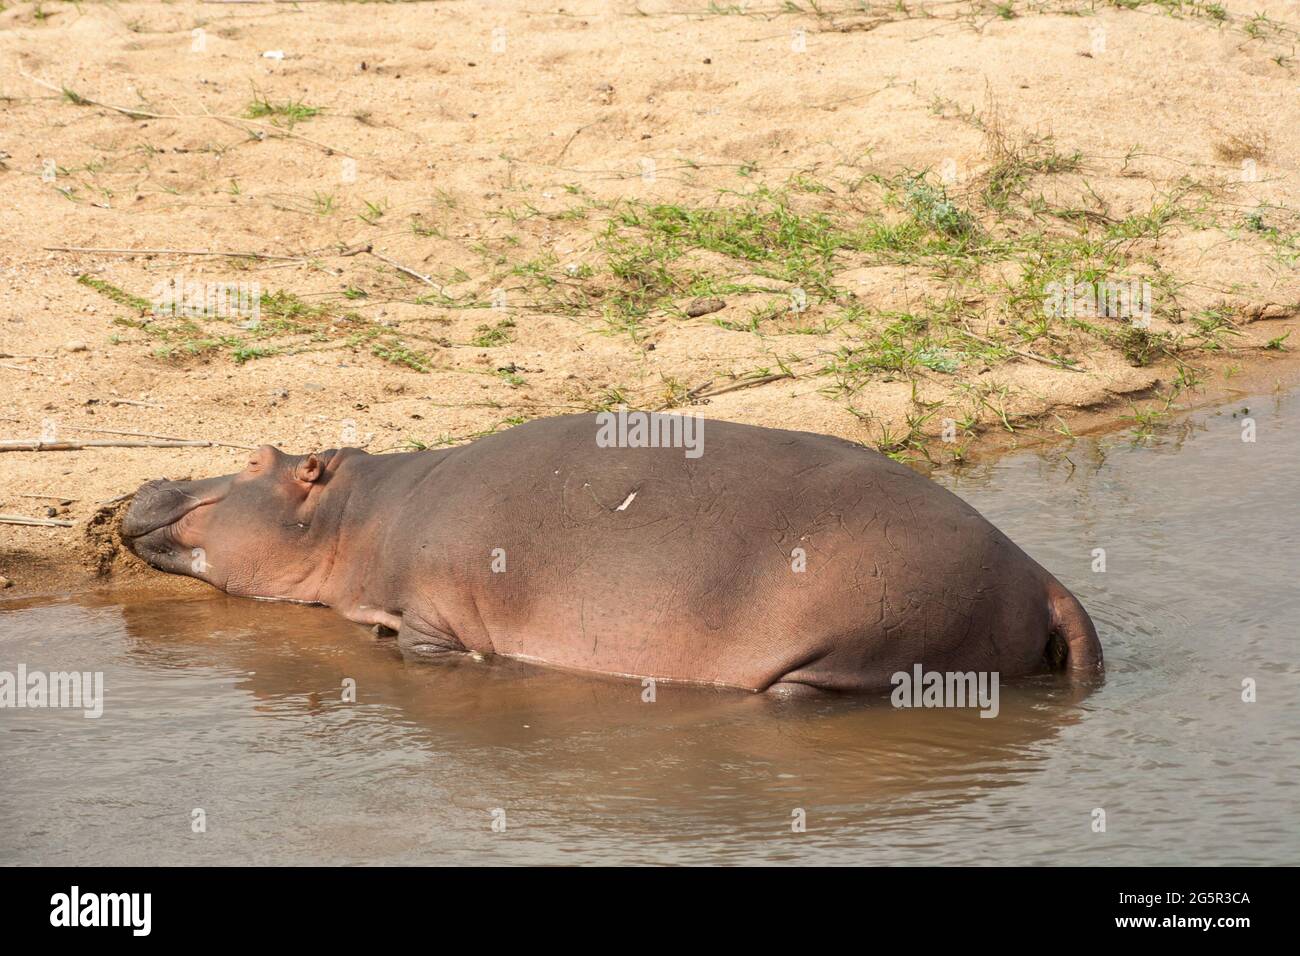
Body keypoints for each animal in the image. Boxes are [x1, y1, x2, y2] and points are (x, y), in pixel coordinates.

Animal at [122, 411, 1102, 697]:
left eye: (255, 459)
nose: (148, 481)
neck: (357, 515)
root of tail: (1041, 575)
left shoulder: (438, 612)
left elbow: (422, 644)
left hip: (863, 642)